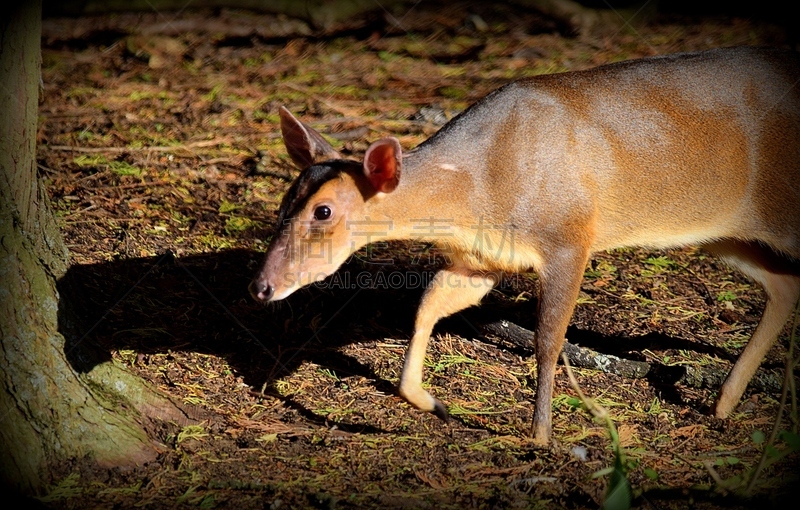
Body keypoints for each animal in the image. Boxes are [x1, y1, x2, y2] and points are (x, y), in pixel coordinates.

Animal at [252, 47, 800, 446]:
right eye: (284, 200)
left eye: (323, 211)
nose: (262, 287)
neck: (480, 188)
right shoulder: (481, 260)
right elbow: (428, 305)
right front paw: (433, 403)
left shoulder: (569, 237)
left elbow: (547, 341)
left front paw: (540, 437)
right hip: (723, 234)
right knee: (784, 286)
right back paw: (724, 402)